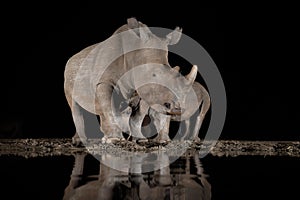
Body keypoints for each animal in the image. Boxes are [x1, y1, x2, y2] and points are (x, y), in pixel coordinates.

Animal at [64, 17, 198, 145]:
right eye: (154, 74)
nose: (177, 109)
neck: (135, 54)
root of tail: (73, 57)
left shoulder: (144, 88)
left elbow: (138, 115)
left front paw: (143, 140)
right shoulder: (105, 81)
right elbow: (109, 107)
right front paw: (115, 140)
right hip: (69, 72)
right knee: (76, 106)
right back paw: (80, 141)